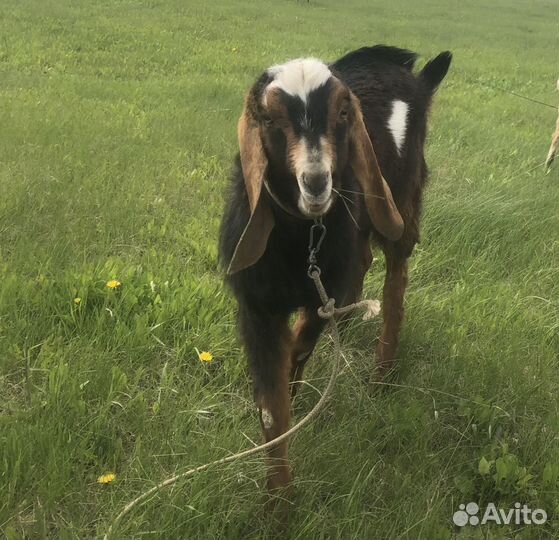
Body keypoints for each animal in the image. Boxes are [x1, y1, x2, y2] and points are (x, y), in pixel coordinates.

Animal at [218, 45, 450, 494]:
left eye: (344, 112)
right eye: (269, 118)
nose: (316, 182)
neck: (303, 240)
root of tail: (413, 75)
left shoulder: (320, 295)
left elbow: (300, 347)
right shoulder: (257, 307)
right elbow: (271, 409)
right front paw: (278, 500)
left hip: (400, 202)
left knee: (396, 277)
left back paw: (381, 376)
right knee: (364, 261)